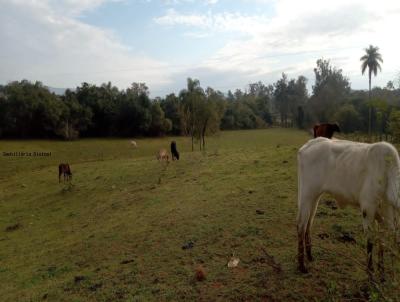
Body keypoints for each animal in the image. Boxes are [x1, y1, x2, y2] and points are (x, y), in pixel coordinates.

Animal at [296, 138, 400, 274]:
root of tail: (311, 143)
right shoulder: (368, 208)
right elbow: (370, 241)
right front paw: (370, 271)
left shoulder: (386, 214)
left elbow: (381, 241)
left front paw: (381, 270)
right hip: (306, 196)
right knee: (301, 226)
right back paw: (302, 266)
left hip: (315, 198)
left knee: (309, 223)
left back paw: (309, 256)